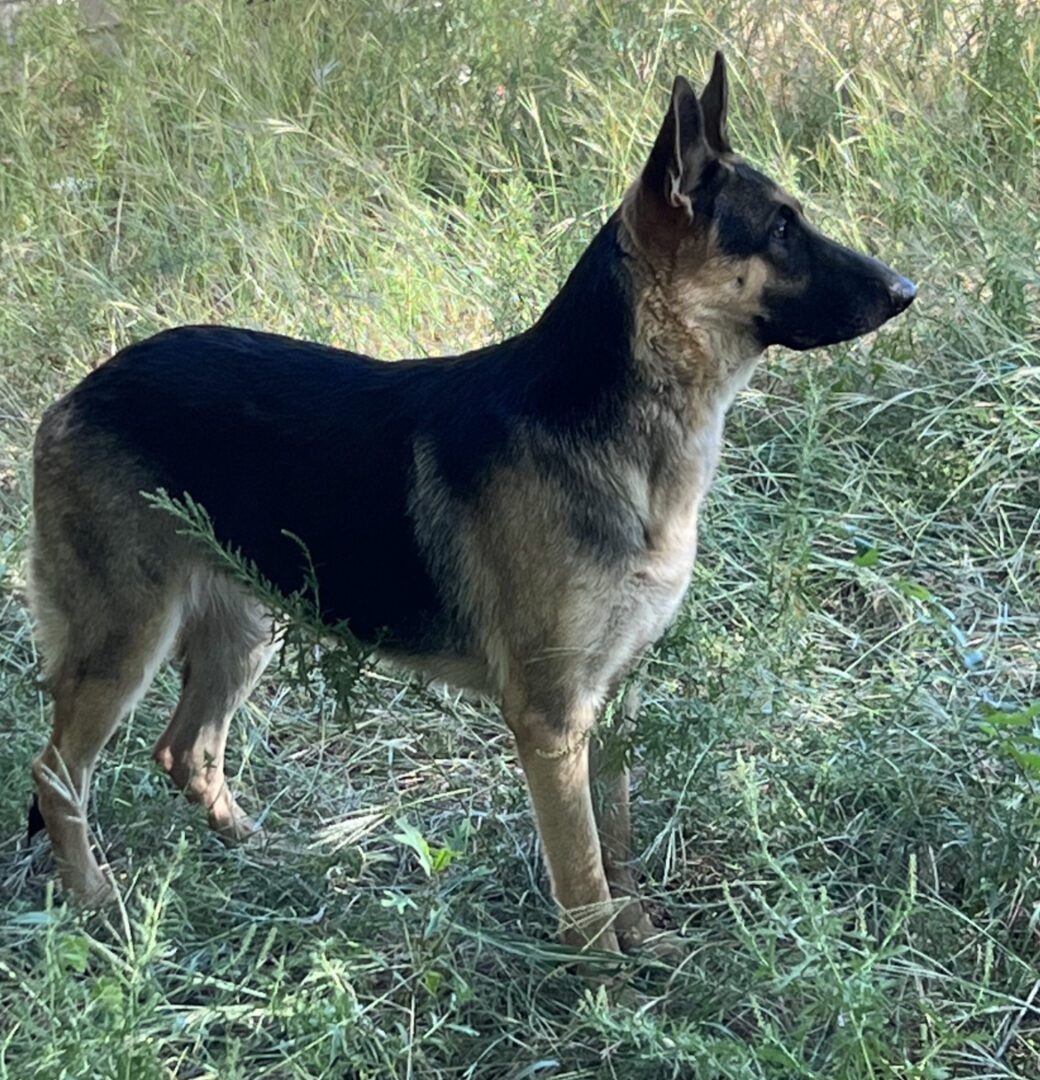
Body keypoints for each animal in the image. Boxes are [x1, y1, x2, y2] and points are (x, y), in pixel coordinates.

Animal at [28, 54, 915, 954]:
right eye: (780, 231)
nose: (907, 290)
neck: (617, 430)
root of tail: (82, 390)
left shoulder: (613, 707)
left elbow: (619, 848)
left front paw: (642, 940)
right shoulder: (551, 725)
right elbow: (584, 880)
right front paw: (609, 978)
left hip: (244, 632)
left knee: (186, 751)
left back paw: (262, 852)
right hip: (127, 645)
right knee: (57, 774)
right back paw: (96, 901)